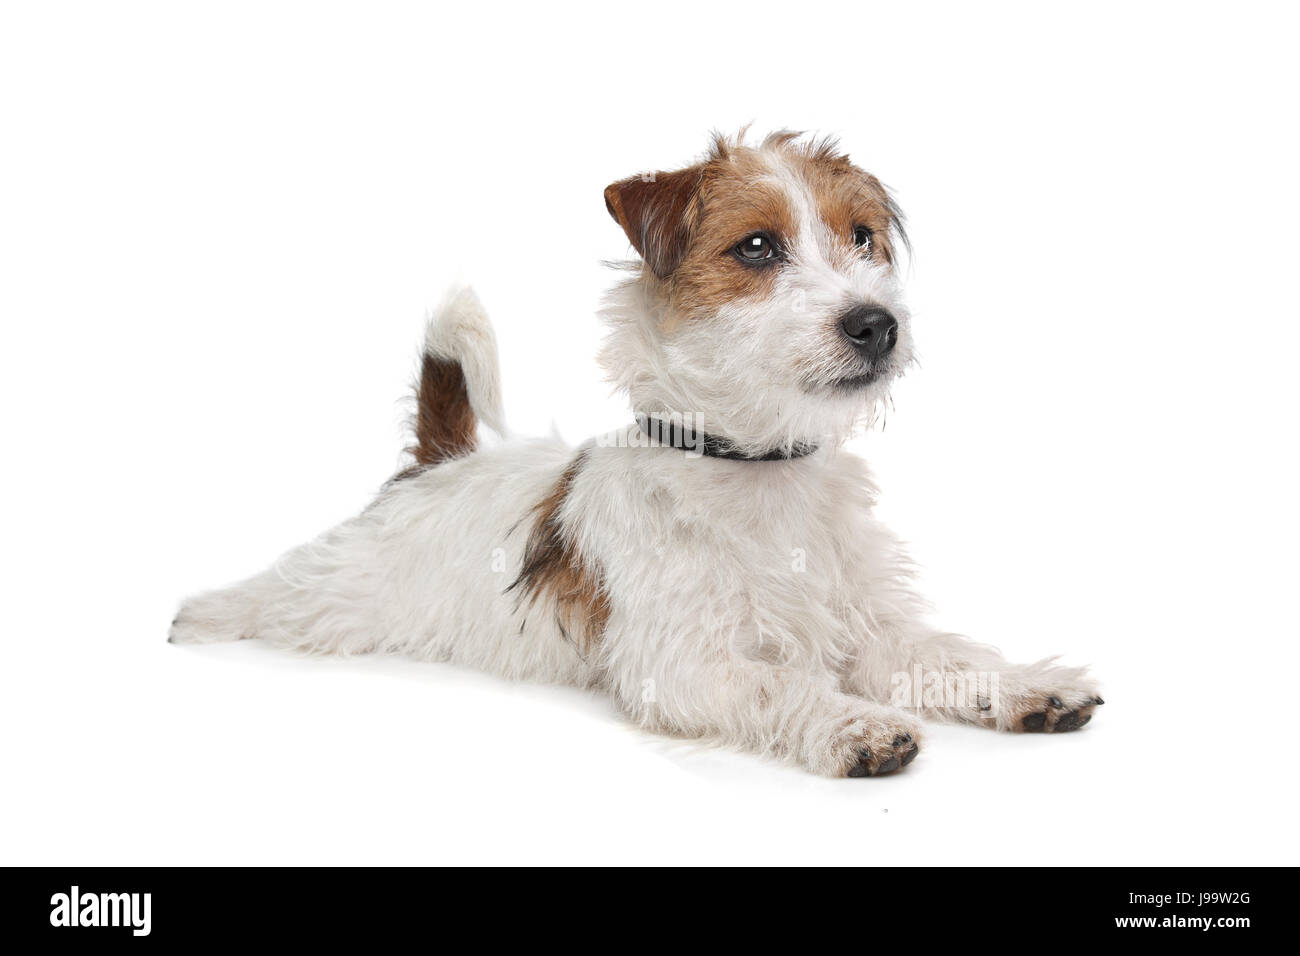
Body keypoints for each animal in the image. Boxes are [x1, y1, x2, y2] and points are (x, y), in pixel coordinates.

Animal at [172, 130, 1102, 775]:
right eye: (757, 246)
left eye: (862, 237)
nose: (877, 325)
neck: (756, 468)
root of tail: (443, 461)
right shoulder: (684, 660)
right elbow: (783, 683)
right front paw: (855, 724)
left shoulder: (866, 628)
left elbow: (943, 655)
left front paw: (1028, 686)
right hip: (336, 590)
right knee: (280, 594)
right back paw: (205, 612)